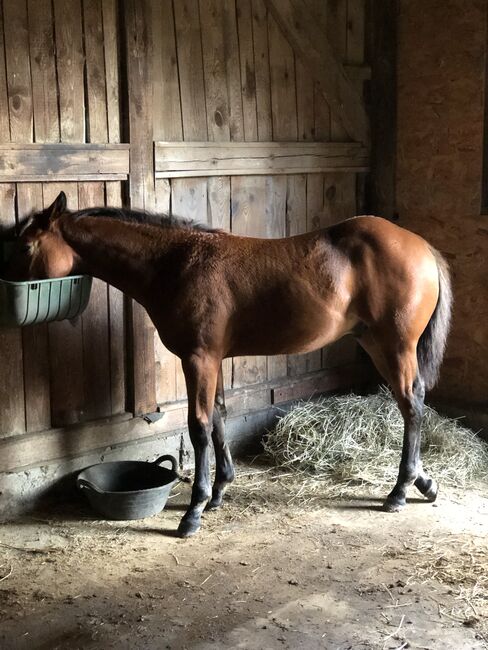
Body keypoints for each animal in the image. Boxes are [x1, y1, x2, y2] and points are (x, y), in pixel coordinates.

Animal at [4, 192, 454, 536]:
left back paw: (400, 490)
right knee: (412, 403)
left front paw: (194, 510)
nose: (8, 295)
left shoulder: (198, 359)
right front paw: (220, 491)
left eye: (24, 247)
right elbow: (219, 417)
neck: (176, 263)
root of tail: (421, 246)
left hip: (393, 346)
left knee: (411, 405)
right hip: (377, 344)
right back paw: (424, 483)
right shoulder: (213, 360)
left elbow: (199, 427)